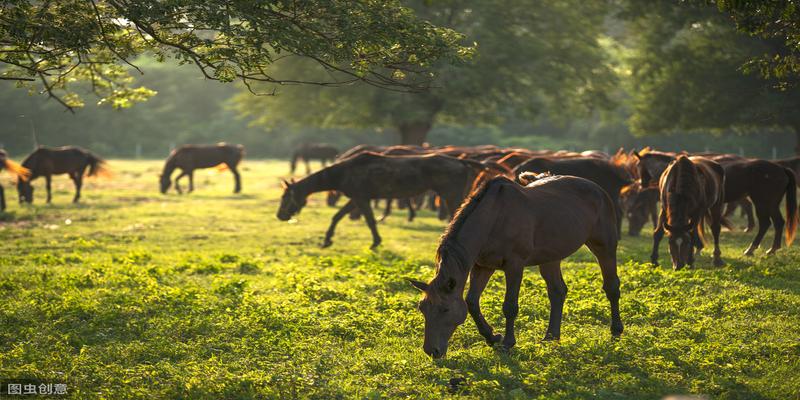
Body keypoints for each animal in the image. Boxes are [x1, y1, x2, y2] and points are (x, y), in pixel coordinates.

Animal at [278, 152, 496, 248]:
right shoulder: (356, 198)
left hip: (451, 196)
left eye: (286, 197)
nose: (280, 215)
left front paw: (375, 242)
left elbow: (370, 221)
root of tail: (461, 161)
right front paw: (327, 239)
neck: (344, 172)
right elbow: (337, 217)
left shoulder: (361, 199)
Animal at [410, 175, 620, 360]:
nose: (431, 351)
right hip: (550, 258)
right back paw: (551, 337)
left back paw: (616, 331)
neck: (493, 217)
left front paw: (507, 342)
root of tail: (598, 189)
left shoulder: (514, 266)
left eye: (444, 309)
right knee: (557, 292)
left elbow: (509, 306)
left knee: (612, 287)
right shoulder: (482, 266)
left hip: (605, 247)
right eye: (422, 308)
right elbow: (472, 302)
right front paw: (492, 337)